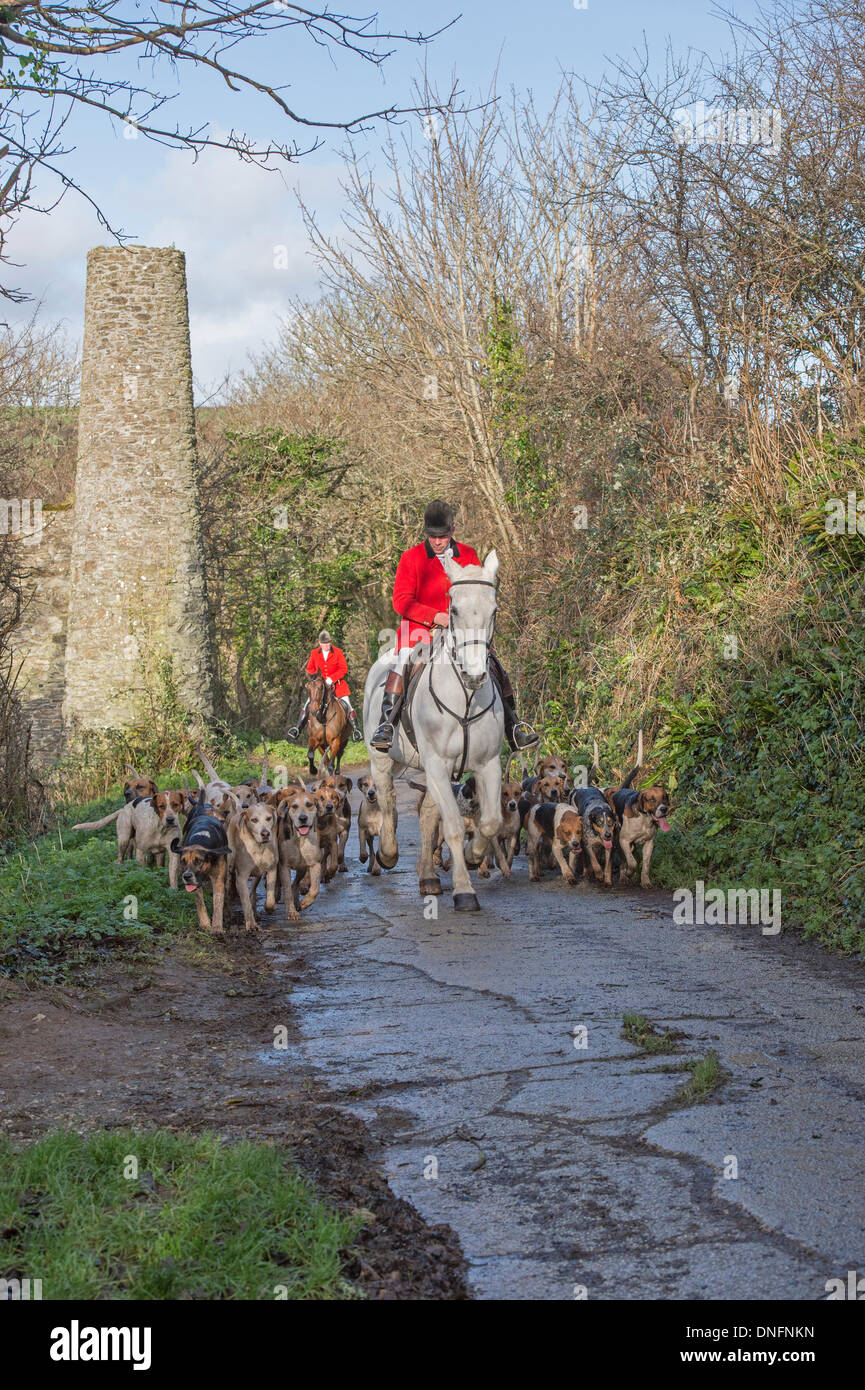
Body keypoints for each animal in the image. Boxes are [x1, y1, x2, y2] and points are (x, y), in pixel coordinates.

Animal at [361, 547, 506, 917]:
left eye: (493, 610)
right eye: (452, 609)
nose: (474, 675)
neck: (465, 698)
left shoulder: (487, 763)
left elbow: (490, 821)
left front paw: (473, 856)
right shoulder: (438, 763)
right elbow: (452, 825)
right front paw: (465, 892)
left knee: (427, 816)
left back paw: (427, 877)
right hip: (383, 759)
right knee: (387, 801)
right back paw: (388, 853)